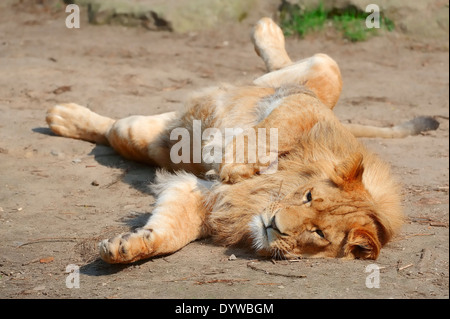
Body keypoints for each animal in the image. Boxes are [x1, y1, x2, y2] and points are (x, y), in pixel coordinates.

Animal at [44, 17, 436, 264]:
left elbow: (172, 231)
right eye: (308, 196)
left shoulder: (201, 196)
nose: (275, 225)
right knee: (318, 65)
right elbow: (278, 125)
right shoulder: (302, 108)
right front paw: (237, 162)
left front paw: (132, 246)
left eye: (318, 233)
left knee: (114, 130)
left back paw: (61, 117)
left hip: (147, 141)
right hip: (308, 81)